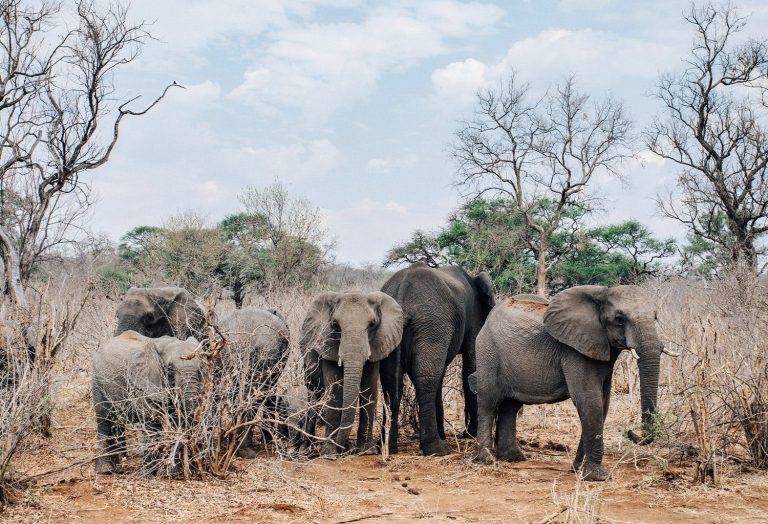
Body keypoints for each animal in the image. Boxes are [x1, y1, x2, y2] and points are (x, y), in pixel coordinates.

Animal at [92, 331, 205, 475]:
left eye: (201, 368)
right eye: (170, 370)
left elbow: (175, 420)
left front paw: (175, 473)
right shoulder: (143, 384)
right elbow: (152, 422)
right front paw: (150, 475)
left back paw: (118, 468)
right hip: (98, 381)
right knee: (104, 419)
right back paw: (105, 470)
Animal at [301, 291, 403, 454]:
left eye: (372, 324)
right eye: (335, 324)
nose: (340, 448)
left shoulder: (376, 345)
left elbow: (369, 388)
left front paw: (366, 451)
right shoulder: (328, 343)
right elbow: (335, 391)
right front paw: (330, 453)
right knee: (313, 395)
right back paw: (306, 450)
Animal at [380, 263, 495, 456]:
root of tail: (401, 293)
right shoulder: (474, 316)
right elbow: (471, 366)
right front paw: (470, 434)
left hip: (391, 328)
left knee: (392, 384)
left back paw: (388, 447)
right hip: (432, 325)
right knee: (426, 379)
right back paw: (436, 449)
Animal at [471, 286, 678, 481]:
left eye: (655, 317)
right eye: (619, 319)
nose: (630, 432)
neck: (600, 295)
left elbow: (603, 404)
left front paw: (577, 469)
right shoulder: (574, 352)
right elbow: (590, 402)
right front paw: (596, 477)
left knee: (510, 405)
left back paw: (513, 458)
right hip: (487, 351)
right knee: (489, 402)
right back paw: (487, 460)